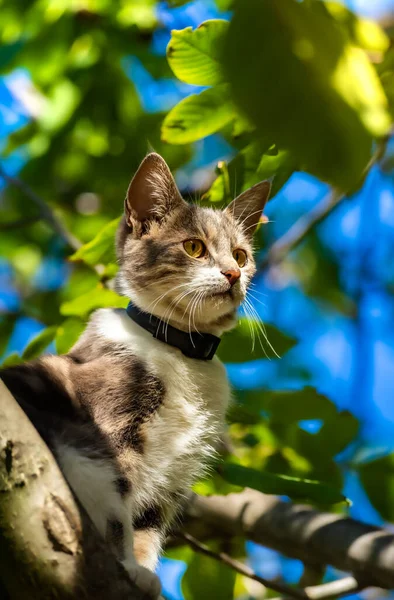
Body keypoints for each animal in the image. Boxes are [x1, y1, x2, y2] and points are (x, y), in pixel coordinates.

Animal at [0, 152, 270, 596]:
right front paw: (127, 565)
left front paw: (141, 566)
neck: (181, 352)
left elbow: (147, 522)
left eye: (241, 255)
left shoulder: (174, 476)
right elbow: (117, 506)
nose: (233, 274)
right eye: (194, 247)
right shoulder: (107, 421)